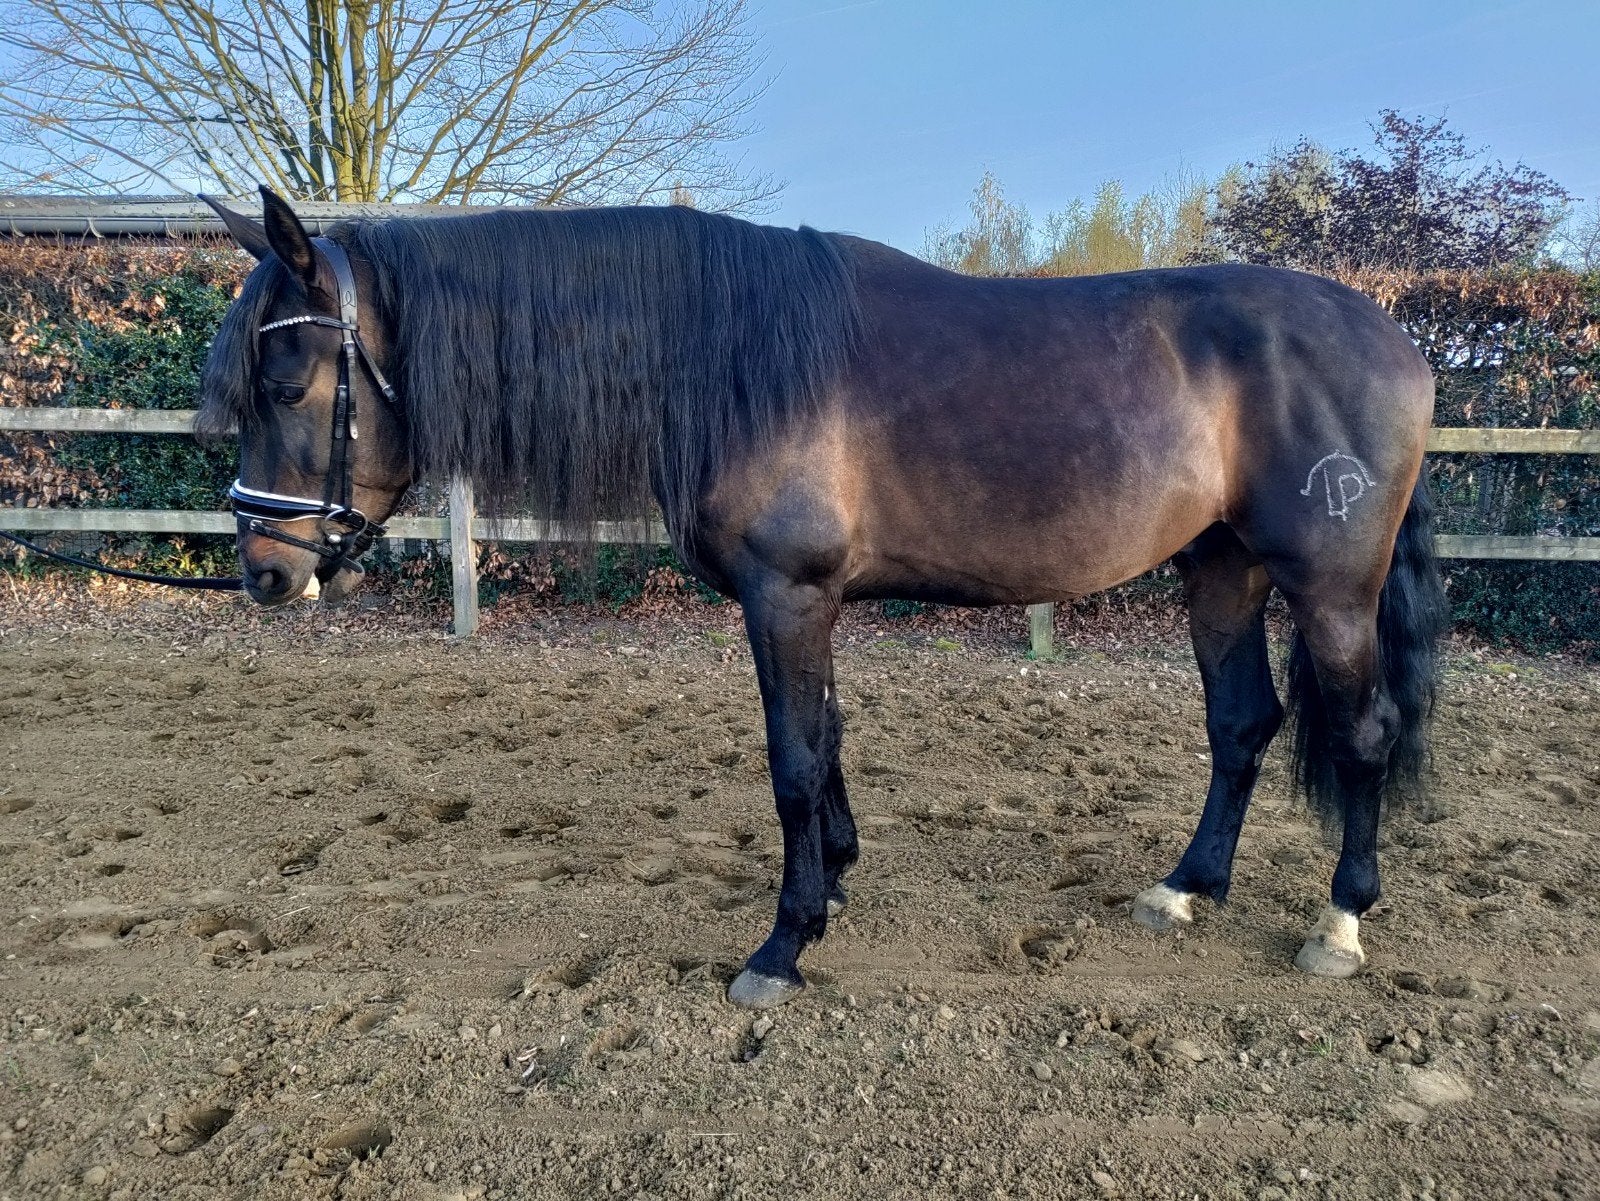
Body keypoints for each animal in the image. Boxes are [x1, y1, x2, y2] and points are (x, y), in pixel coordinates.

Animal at [197, 187, 1447, 1010]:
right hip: (1221, 570)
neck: (725, 352)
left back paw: (1340, 920)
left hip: (1328, 589)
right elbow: (831, 738)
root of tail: (1397, 337)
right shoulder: (814, 600)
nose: (264, 571)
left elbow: (793, 759)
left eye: (288, 380)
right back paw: (1186, 888)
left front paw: (782, 945)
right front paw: (836, 883)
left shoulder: (786, 595)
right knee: (1240, 723)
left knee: (1365, 732)